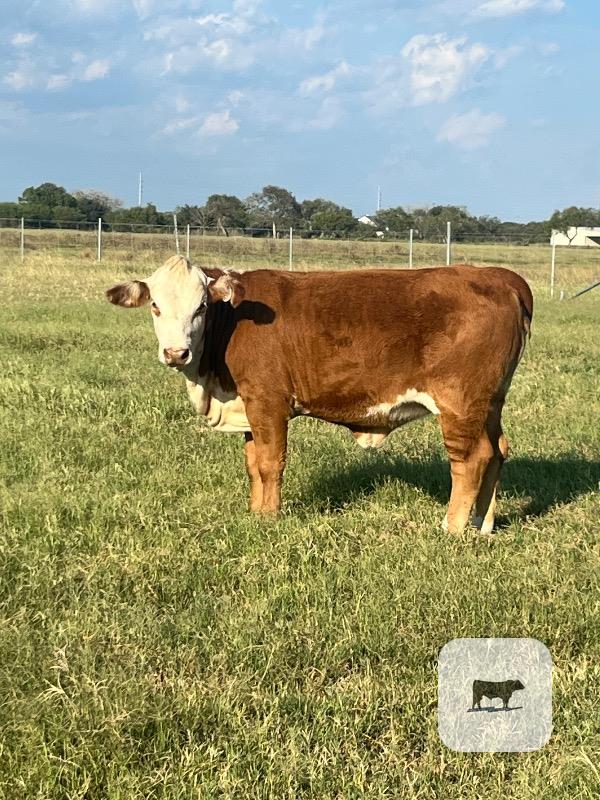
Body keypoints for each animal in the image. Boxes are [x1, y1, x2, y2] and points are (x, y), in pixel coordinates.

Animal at [106, 255, 533, 533]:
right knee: (498, 450)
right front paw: (255, 512)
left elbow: (270, 464)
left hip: (460, 401)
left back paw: (453, 526)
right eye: (155, 306)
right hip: (490, 402)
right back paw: (482, 522)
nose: (176, 352)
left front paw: (270, 518)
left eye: (201, 307)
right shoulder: (249, 408)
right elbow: (253, 465)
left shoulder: (268, 401)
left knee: (472, 458)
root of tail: (500, 277)